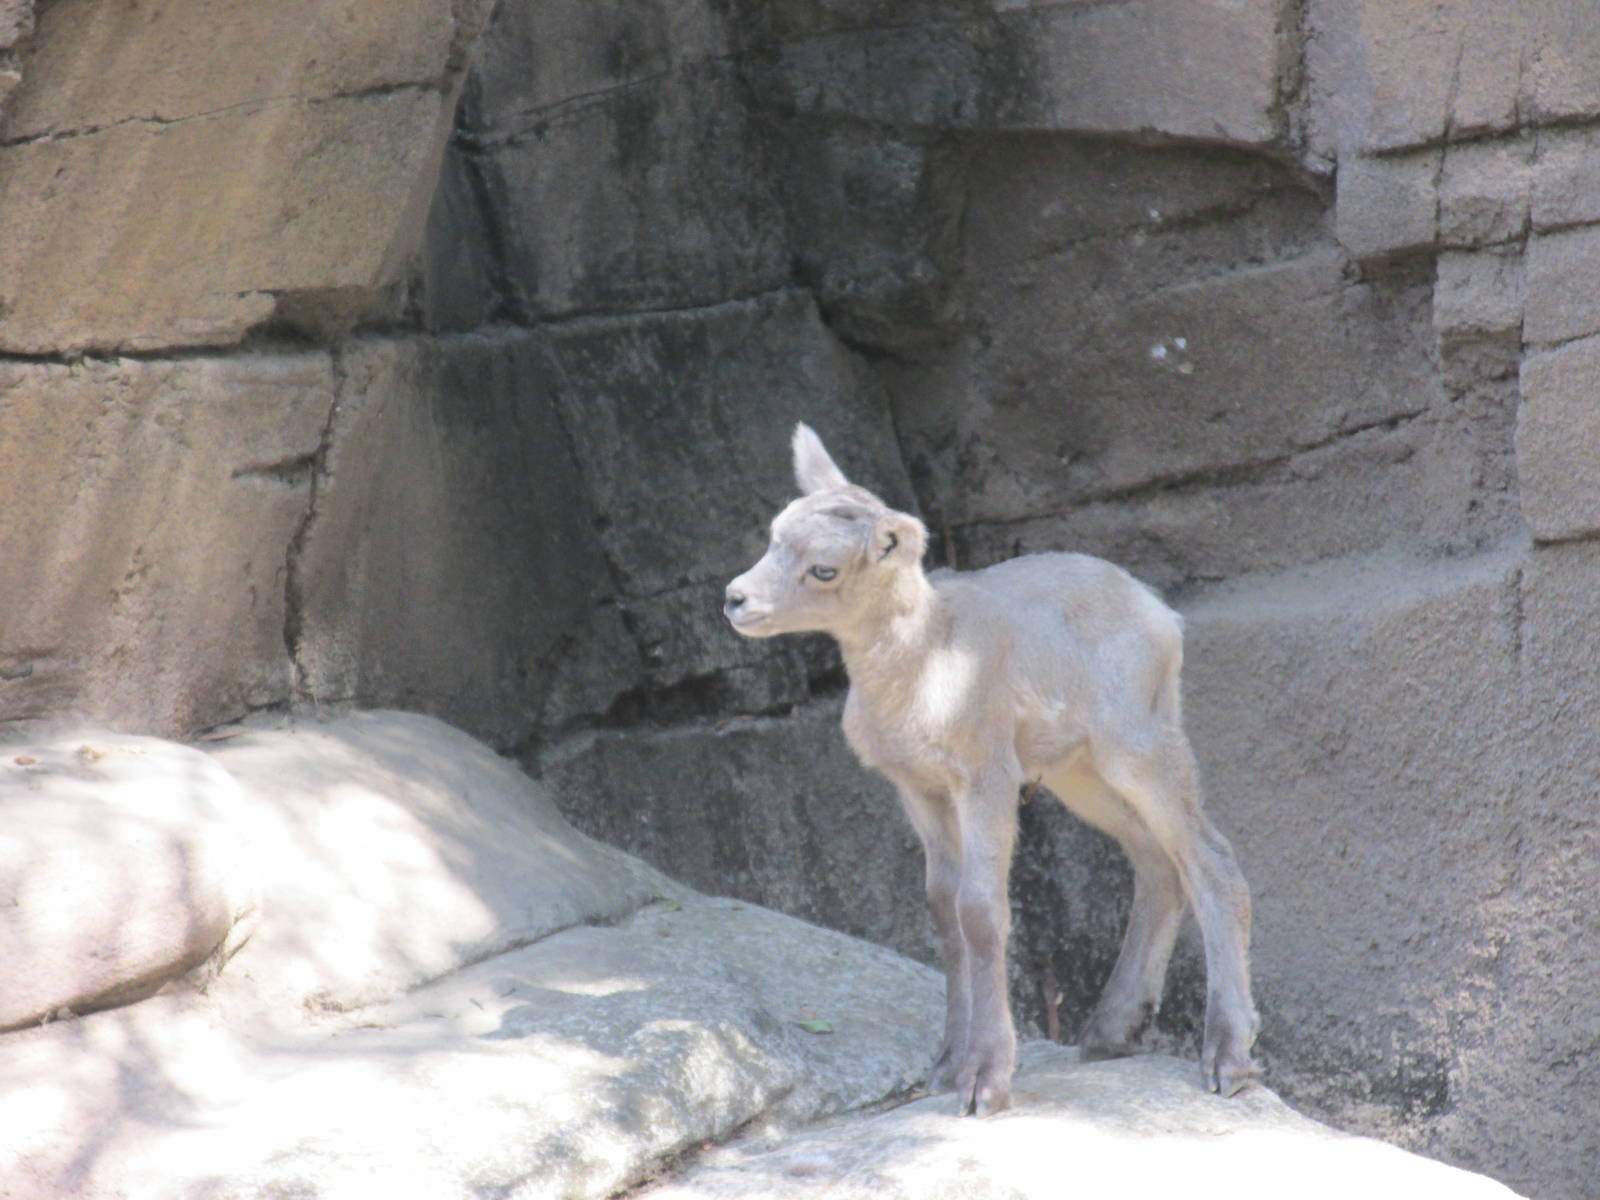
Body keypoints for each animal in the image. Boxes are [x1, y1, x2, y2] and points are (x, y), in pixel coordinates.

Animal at [723, 424, 1259, 1117]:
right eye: (773, 536)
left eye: (824, 568)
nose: (736, 600)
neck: (927, 661)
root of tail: (1161, 614)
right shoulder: (919, 789)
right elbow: (943, 910)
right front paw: (945, 1066)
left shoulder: (987, 777)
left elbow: (981, 911)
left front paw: (984, 1081)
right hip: (1080, 772)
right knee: (1157, 863)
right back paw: (1110, 1031)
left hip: (1137, 743)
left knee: (1210, 861)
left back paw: (1227, 1058)